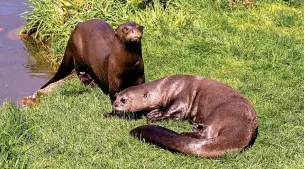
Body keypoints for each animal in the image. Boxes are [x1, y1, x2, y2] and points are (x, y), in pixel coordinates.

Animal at [113, 74, 258, 158]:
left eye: (124, 100)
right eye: (115, 97)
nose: (114, 105)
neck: (168, 86)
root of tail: (246, 127)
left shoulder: (182, 98)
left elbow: (174, 110)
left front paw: (154, 114)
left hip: (219, 114)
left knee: (206, 135)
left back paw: (186, 132)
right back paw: (196, 126)